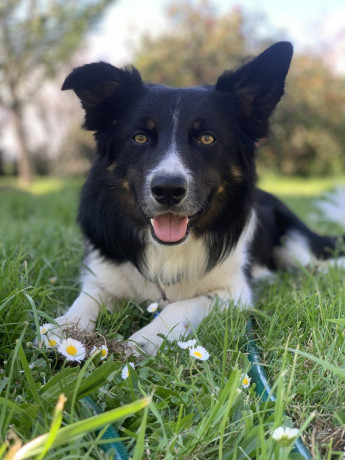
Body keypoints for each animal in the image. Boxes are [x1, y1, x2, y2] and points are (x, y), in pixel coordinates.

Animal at [55, 40, 342, 356]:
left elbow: (180, 307)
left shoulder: (233, 293)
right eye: (140, 137)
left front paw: (142, 341)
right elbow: (84, 302)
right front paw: (61, 333)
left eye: (206, 138)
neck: (169, 249)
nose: (168, 190)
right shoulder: (103, 274)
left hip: (296, 243)